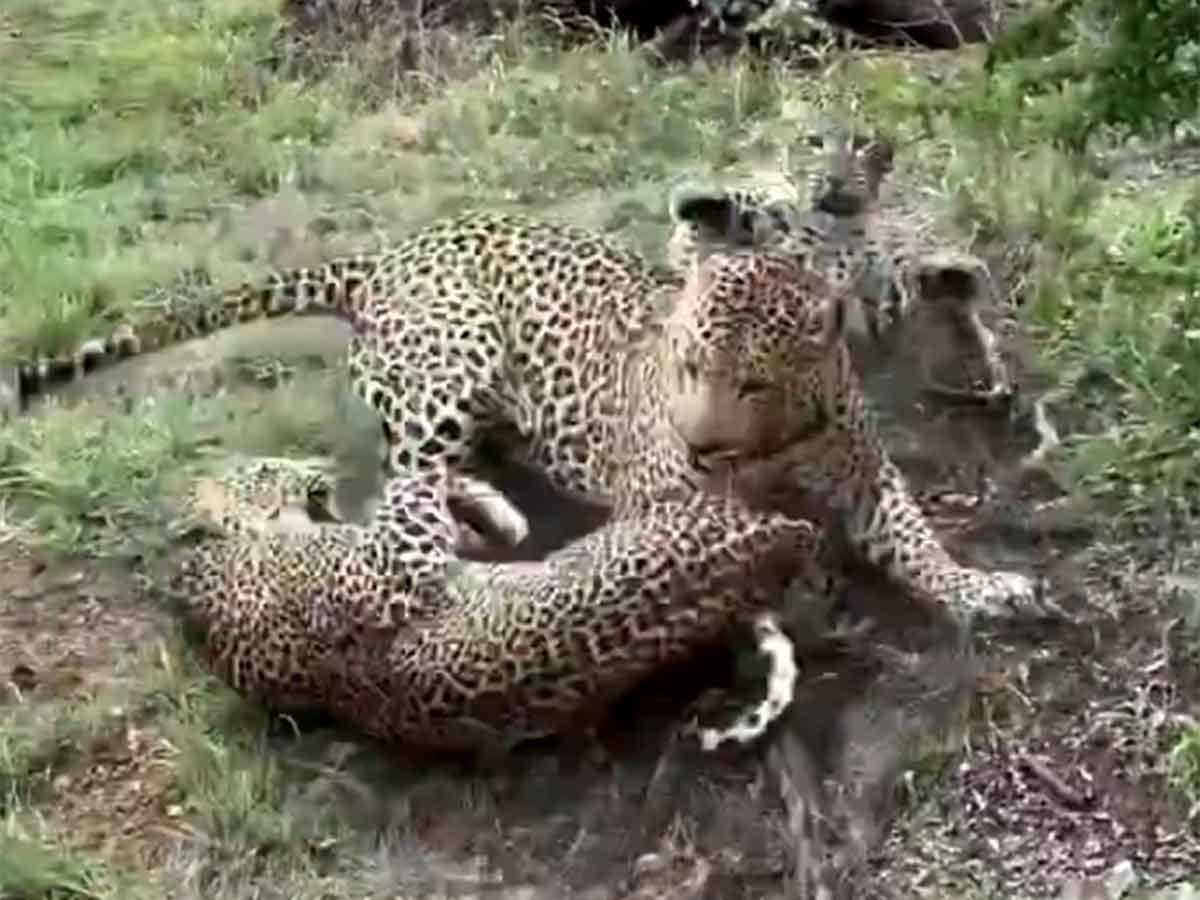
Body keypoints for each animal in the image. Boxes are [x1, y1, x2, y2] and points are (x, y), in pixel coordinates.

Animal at [9, 129, 1042, 626]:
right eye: (687, 366)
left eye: (752, 381)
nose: (703, 443)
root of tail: (386, 256)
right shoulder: (661, 503)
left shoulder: (866, 476)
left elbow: (916, 542)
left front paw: (978, 591)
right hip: (452, 356)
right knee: (398, 483)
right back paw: (483, 526)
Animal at [171, 454, 829, 757]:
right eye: (266, 467)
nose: (318, 466)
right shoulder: (383, 575)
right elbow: (410, 489)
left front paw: (487, 509)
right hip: (688, 511)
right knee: (795, 517)